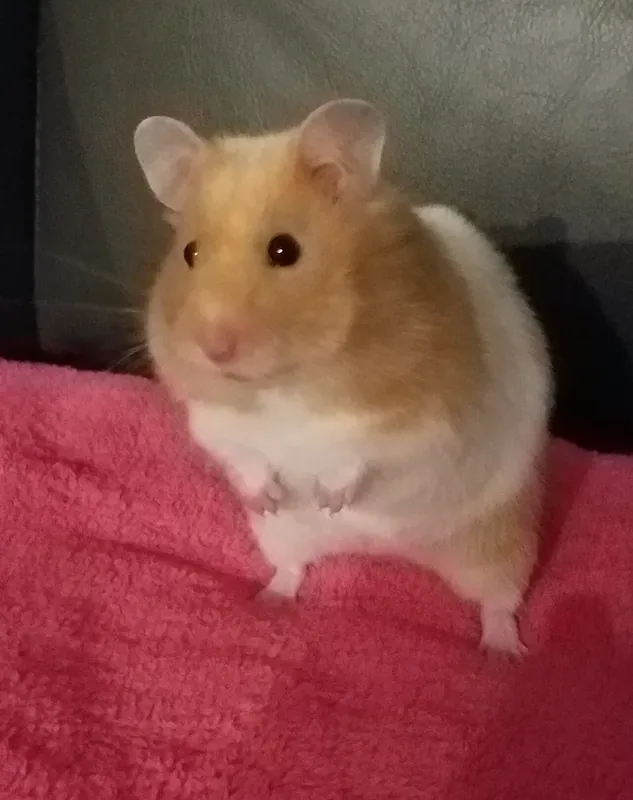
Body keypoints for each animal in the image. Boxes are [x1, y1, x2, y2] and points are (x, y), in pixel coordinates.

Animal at [134, 99, 552, 655]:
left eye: (284, 250)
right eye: (190, 253)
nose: (213, 349)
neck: (287, 386)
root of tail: (385, 549)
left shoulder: (422, 420)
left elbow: (361, 452)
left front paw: (327, 498)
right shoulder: (213, 421)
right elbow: (241, 452)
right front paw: (272, 497)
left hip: (502, 546)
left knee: (499, 603)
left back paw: (501, 655)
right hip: (282, 539)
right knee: (291, 568)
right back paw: (269, 601)